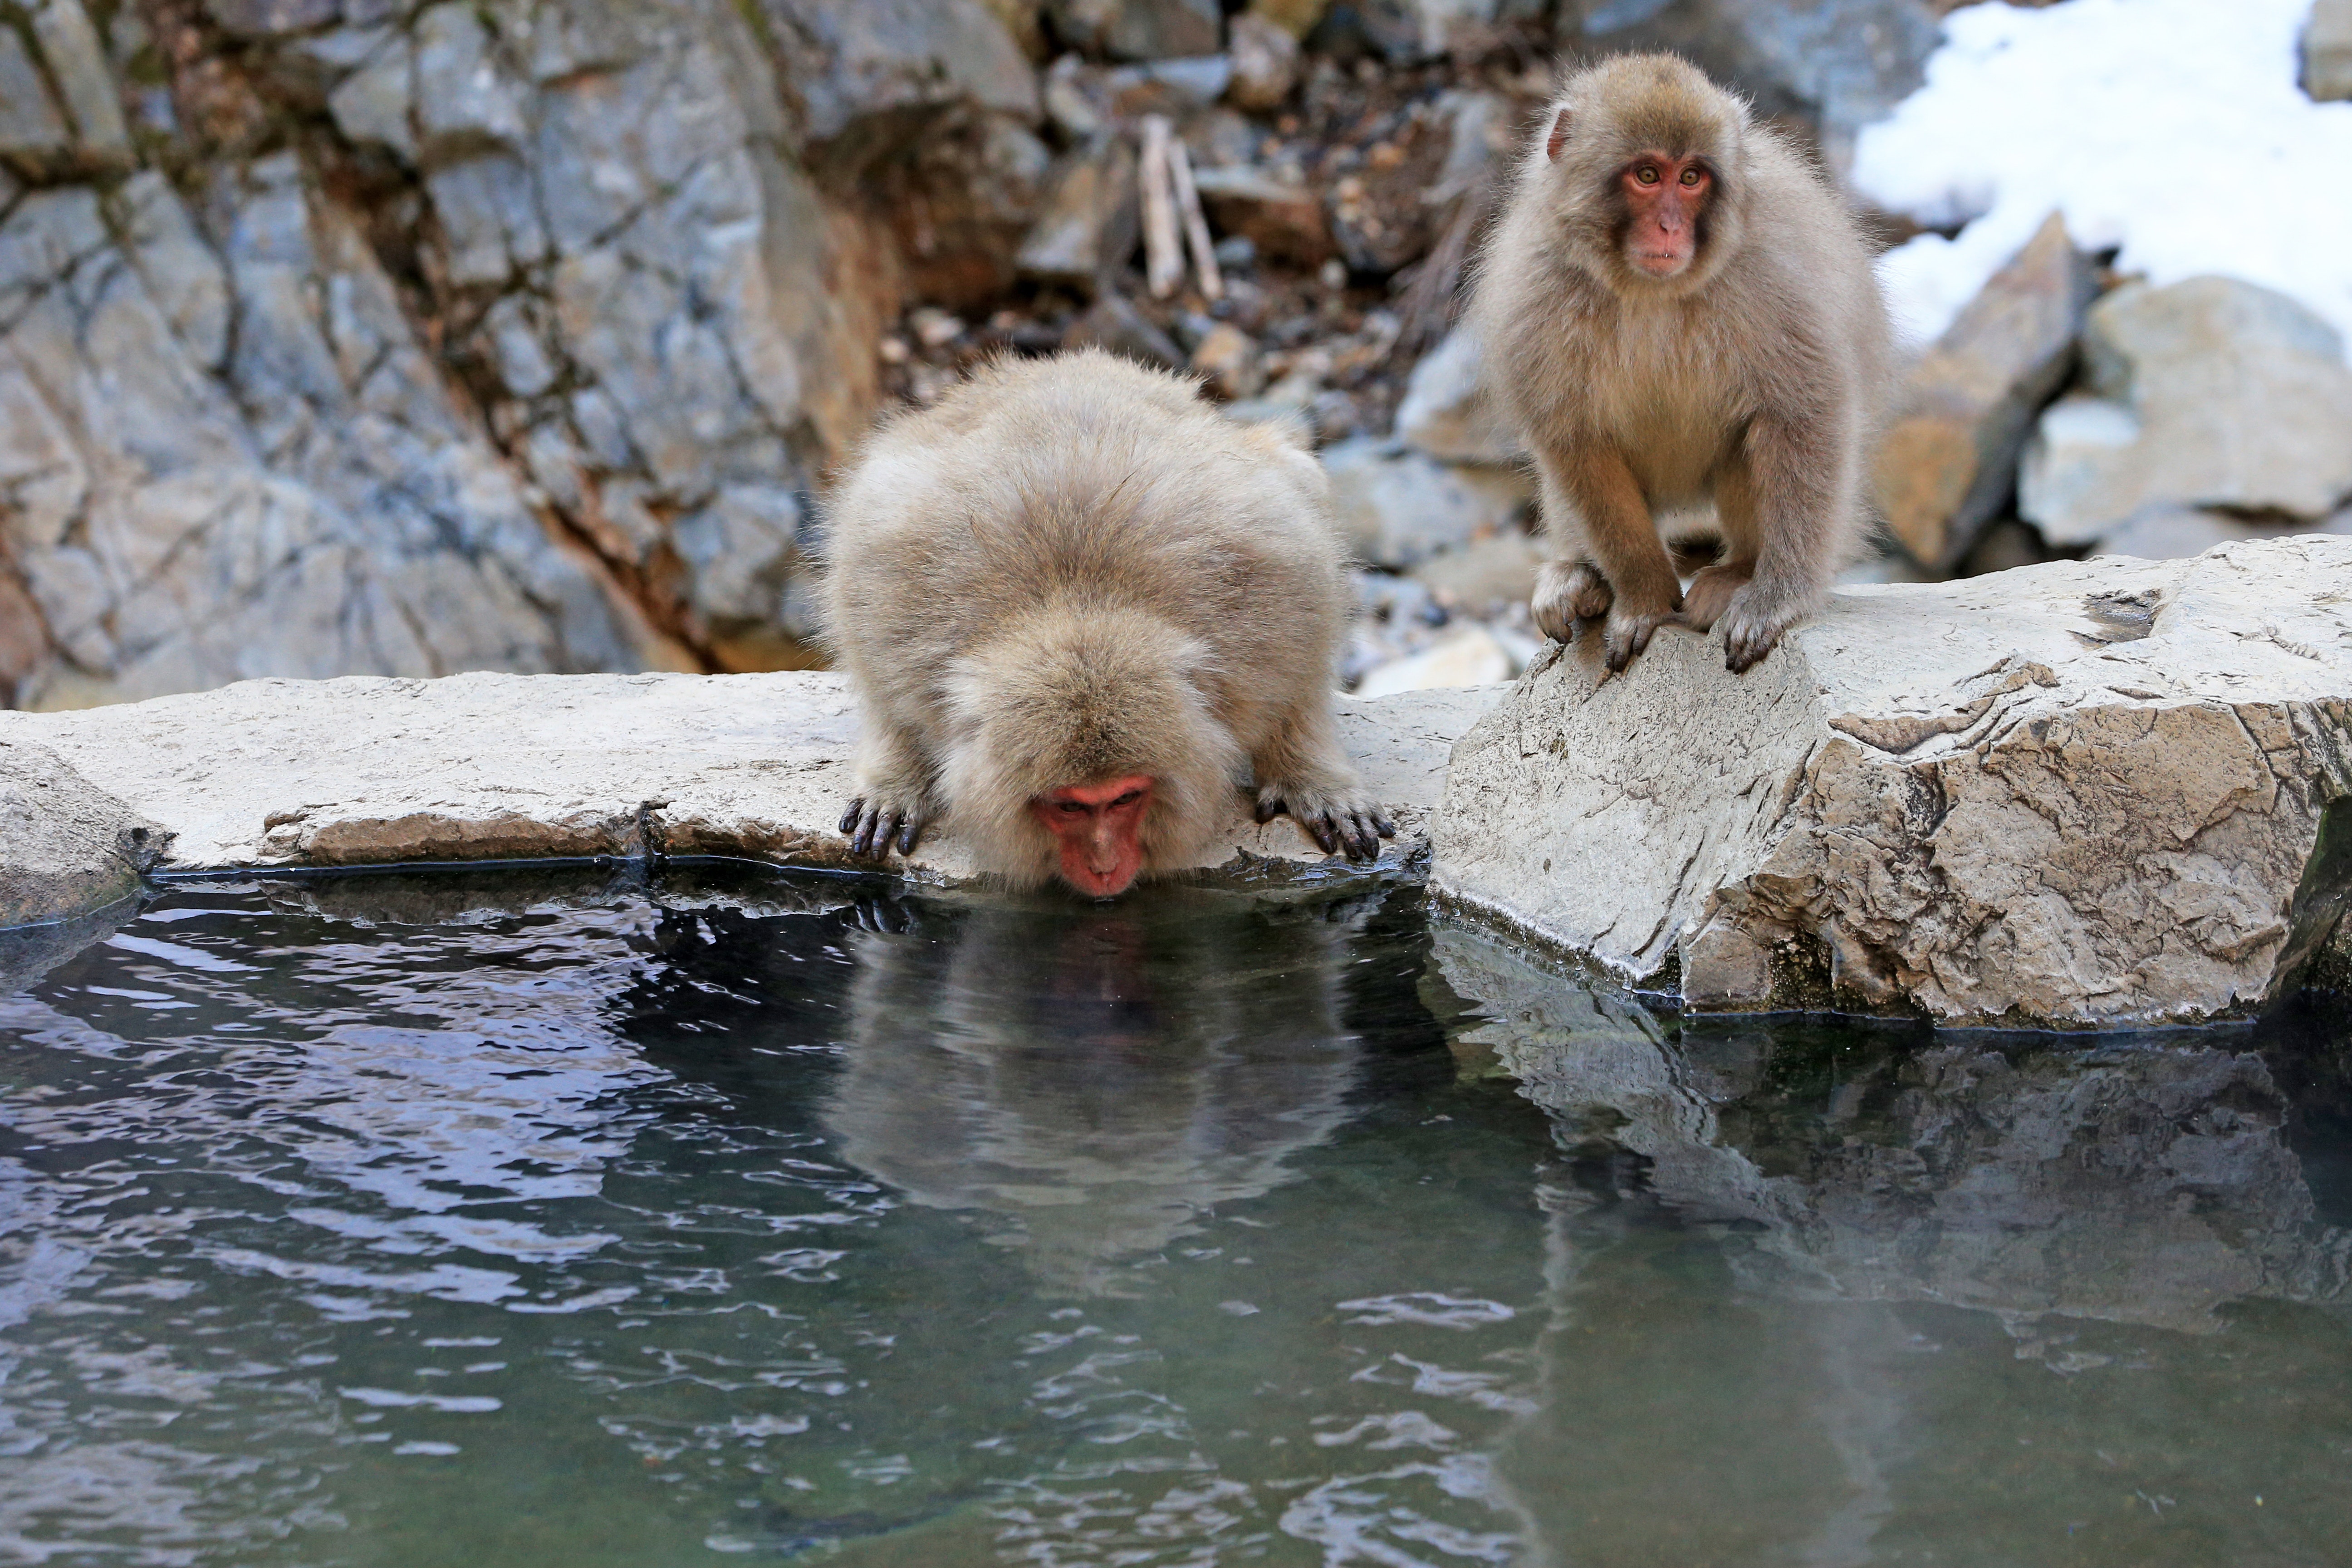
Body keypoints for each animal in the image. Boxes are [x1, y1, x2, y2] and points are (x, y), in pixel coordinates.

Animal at [819, 349, 1394, 897]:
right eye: (1071, 806)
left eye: (1124, 799)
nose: (1104, 865)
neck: (1079, 610)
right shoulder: (903, 619)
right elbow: (883, 676)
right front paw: (899, 778)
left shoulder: (1269, 608)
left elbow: (1303, 659)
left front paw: (1309, 777)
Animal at [1468, 53, 1891, 673]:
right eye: (1648, 176)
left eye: (1691, 178)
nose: (1670, 226)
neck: (1650, 290)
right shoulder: (1536, 294)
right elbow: (1573, 439)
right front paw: (1644, 598)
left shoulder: (1774, 279)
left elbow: (1804, 413)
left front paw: (1777, 598)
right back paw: (1581, 575)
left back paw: (1739, 572)